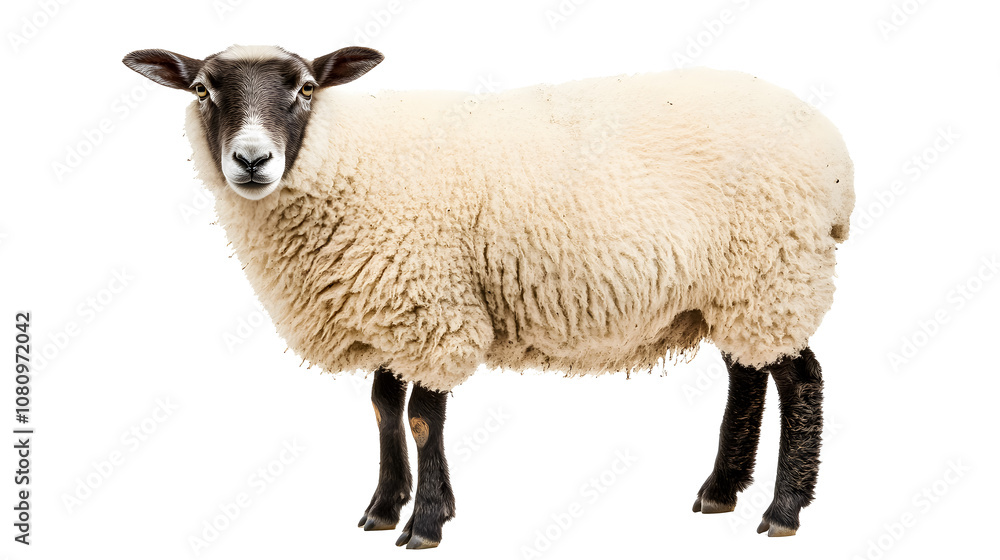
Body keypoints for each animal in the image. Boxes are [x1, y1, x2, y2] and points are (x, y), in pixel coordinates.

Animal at [123, 44, 854, 548]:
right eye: (201, 89)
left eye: (306, 87)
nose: (252, 161)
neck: (349, 161)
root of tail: (834, 155)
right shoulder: (394, 305)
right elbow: (383, 407)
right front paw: (383, 506)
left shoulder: (431, 307)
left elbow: (423, 418)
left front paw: (424, 522)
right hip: (735, 286)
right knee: (749, 373)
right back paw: (721, 491)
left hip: (774, 269)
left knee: (801, 379)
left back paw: (782, 510)